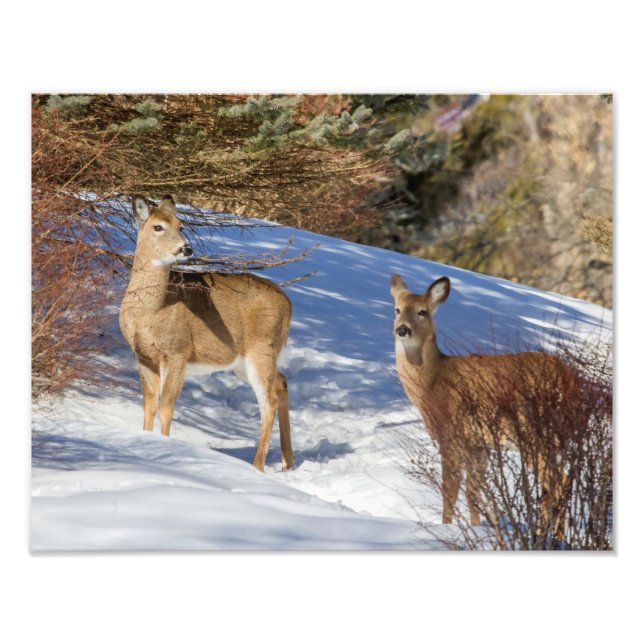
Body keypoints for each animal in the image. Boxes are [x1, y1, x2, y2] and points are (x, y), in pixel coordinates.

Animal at [119, 195, 294, 472]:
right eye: (158, 227)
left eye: (180, 225)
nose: (186, 249)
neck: (152, 311)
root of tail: (288, 303)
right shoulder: (144, 355)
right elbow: (149, 405)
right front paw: (147, 441)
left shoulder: (178, 352)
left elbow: (166, 406)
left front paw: (167, 447)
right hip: (244, 362)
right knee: (281, 381)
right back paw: (288, 461)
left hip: (261, 349)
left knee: (269, 402)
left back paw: (257, 467)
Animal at [390, 273, 582, 538]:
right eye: (397, 309)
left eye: (422, 312)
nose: (402, 330)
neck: (430, 384)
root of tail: (570, 382)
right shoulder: (479, 445)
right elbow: (473, 493)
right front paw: (479, 530)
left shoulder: (450, 435)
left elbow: (449, 492)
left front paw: (447, 530)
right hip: (557, 439)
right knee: (555, 486)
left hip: (536, 433)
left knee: (559, 483)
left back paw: (551, 537)